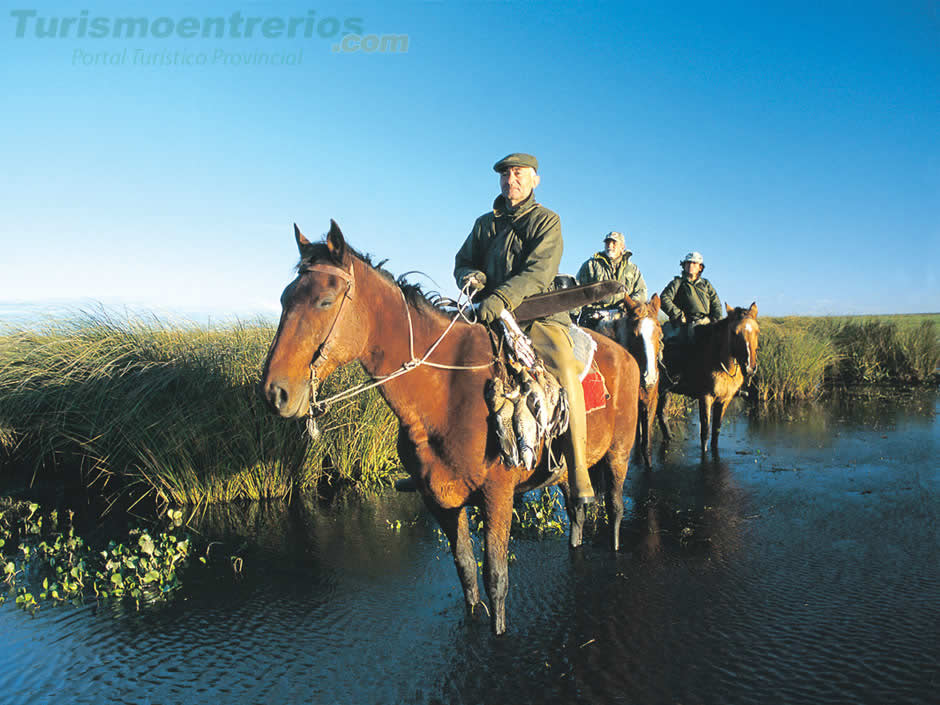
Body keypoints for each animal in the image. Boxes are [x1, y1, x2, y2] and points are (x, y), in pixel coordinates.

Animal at [258, 223, 640, 636]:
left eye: (325, 301)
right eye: (284, 298)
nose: (275, 392)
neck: (446, 394)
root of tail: (626, 354)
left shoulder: (497, 495)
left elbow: (496, 578)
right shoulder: (440, 501)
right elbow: (466, 573)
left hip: (619, 453)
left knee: (615, 506)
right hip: (569, 471)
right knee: (576, 513)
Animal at [656, 302, 760, 454]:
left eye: (757, 331)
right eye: (733, 332)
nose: (750, 368)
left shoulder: (724, 400)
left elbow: (716, 431)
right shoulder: (705, 397)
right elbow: (705, 431)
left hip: (665, 391)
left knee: (662, 415)